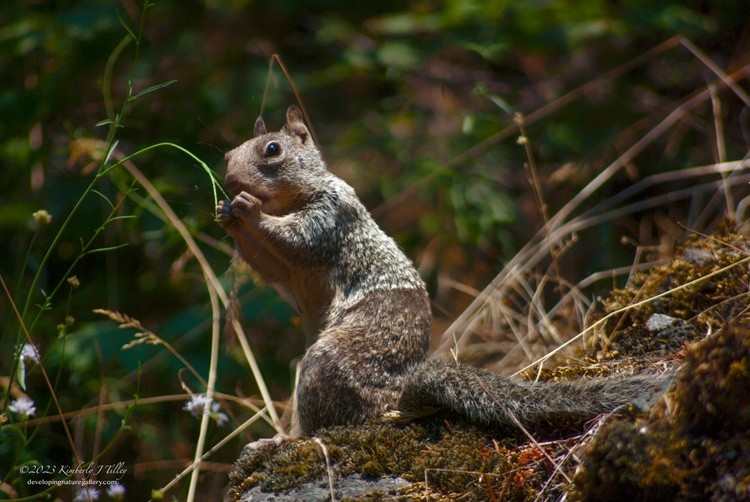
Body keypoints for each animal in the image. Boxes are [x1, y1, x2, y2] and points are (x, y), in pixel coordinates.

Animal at [217, 107, 676, 440]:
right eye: (226, 154)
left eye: (272, 149)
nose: (229, 180)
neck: (289, 201)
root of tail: (399, 392)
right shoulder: (288, 266)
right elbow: (272, 264)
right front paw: (226, 213)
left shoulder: (329, 220)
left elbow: (294, 240)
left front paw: (248, 209)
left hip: (329, 360)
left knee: (333, 422)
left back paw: (287, 441)